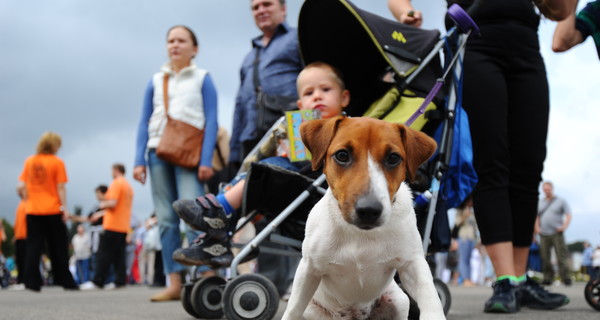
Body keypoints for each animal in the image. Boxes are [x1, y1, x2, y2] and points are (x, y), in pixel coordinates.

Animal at [282, 117, 446, 320]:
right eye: (342, 155)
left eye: (393, 158)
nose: (369, 210)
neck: (360, 234)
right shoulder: (309, 268)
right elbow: (293, 309)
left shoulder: (412, 263)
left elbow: (430, 296)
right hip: (313, 310)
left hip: (399, 300)